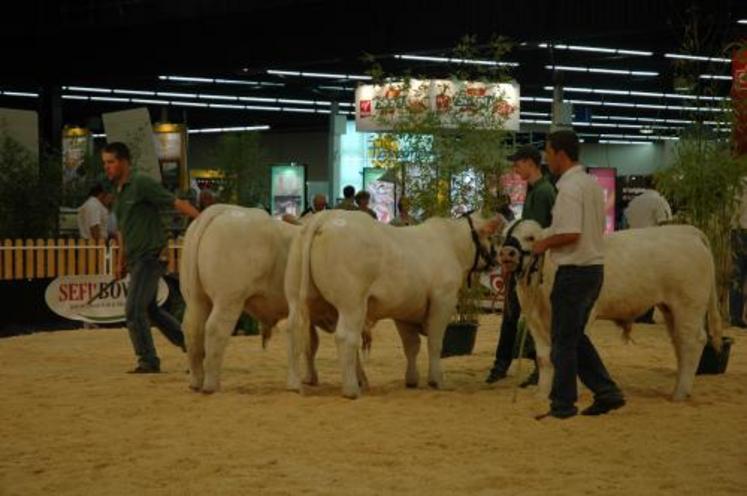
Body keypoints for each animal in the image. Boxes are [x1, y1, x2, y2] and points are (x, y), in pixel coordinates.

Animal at [284, 209, 506, 400]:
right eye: (490, 237)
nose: (497, 260)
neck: (451, 245)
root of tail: (325, 217)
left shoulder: (405, 309)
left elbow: (412, 346)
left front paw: (412, 379)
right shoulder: (443, 300)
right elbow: (435, 343)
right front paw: (436, 380)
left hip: (295, 295)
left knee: (293, 330)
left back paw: (294, 384)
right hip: (352, 302)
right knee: (346, 337)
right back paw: (351, 389)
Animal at [500, 223, 720, 402]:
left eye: (530, 237)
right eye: (504, 236)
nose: (507, 252)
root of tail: (687, 231)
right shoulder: (534, 321)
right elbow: (544, 359)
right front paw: (541, 394)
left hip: (689, 305)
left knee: (692, 342)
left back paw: (680, 394)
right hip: (670, 308)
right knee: (679, 343)